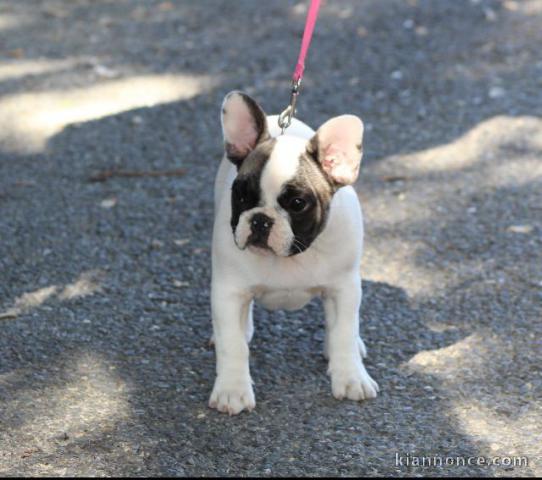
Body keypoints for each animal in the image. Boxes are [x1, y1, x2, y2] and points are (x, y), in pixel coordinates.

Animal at [210, 92, 380, 414]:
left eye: (298, 203)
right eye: (241, 195)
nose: (260, 219)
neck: (290, 256)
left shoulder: (343, 288)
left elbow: (342, 332)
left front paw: (351, 377)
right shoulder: (229, 291)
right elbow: (233, 345)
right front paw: (232, 389)